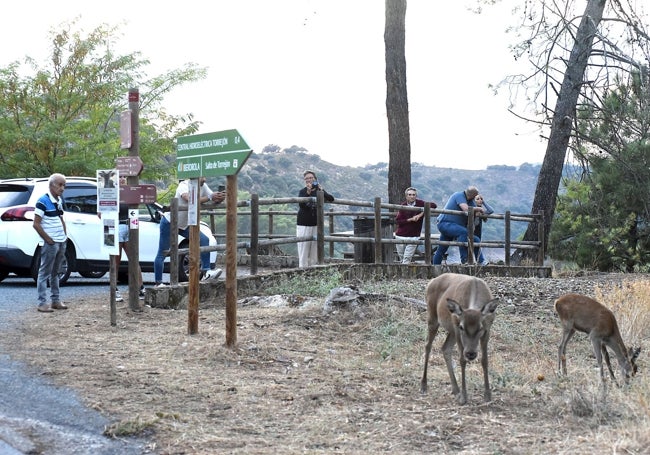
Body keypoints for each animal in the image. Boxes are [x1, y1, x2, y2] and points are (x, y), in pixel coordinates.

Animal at [420, 272, 496, 404]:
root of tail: (431, 281)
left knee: (445, 348)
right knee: (428, 346)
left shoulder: (488, 329)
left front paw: (487, 395)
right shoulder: (456, 327)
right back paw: (424, 385)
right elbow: (462, 360)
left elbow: (485, 360)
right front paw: (464, 397)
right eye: (462, 327)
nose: (471, 353)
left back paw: (455, 389)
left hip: (450, 331)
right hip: (432, 316)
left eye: (480, 327)